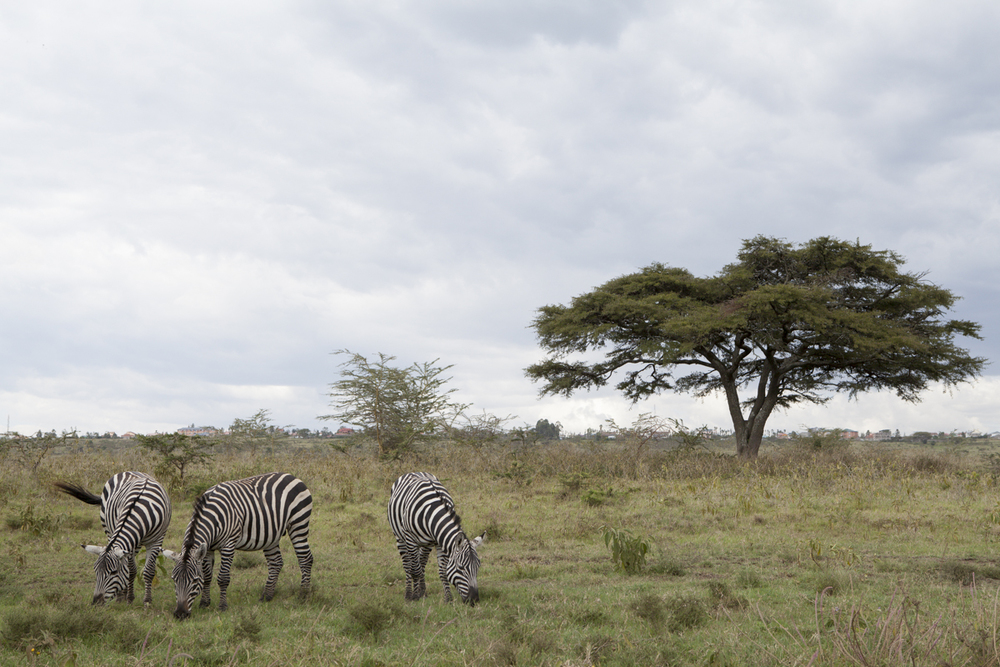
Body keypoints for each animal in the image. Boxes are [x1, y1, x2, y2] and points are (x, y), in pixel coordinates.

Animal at [53, 472, 172, 608]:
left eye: (114, 572)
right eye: (96, 571)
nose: (96, 602)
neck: (141, 510)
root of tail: (128, 471)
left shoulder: (157, 540)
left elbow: (148, 571)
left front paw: (147, 601)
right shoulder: (129, 543)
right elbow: (131, 571)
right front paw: (128, 598)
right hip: (108, 528)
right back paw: (122, 595)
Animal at [164, 470, 312, 620]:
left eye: (194, 581)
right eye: (174, 580)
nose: (180, 614)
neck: (213, 517)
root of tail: (291, 476)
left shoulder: (228, 544)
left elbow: (223, 578)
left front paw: (222, 606)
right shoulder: (208, 548)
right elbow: (207, 576)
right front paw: (204, 603)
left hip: (298, 523)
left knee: (305, 558)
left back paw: (303, 594)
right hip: (271, 534)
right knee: (276, 562)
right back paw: (267, 596)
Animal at [386, 472, 484, 608]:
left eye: (478, 566)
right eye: (461, 568)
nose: (474, 600)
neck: (431, 511)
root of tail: (415, 472)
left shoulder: (439, 542)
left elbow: (443, 572)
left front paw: (448, 598)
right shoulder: (410, 539)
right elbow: (414, 570)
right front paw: (414, 596)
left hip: (426, 543)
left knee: (421, 563)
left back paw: (422, 591)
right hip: (400, 537)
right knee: (408, 565)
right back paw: (409, 593)